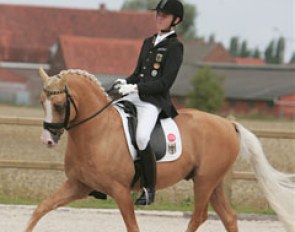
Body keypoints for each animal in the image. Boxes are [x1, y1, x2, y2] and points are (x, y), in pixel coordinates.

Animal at [26, 68, 295, 232]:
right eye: (41, 102)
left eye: (59, 105)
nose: (47, 140)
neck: (97, 132)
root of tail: (229, 124)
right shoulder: (78, 185)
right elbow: (41, 208)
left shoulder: (121, 191)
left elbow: (132, 226)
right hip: (214, 182)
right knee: (228, 217)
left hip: (205, 181)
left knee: (199, 216)